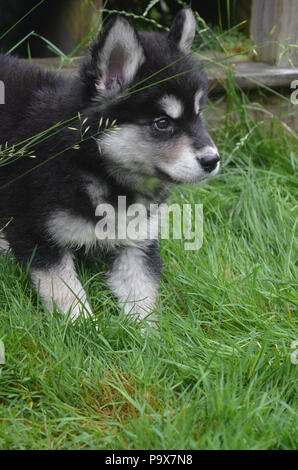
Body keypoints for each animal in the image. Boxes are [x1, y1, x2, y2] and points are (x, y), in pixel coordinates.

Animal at [0, 6, 219, 324]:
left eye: (199, 115)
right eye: (162, 123)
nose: (213, 160)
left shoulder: (136, 242)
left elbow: (143, 293)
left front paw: (146, 333)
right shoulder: (36, 231)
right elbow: (63, 288)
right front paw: (82, 327)